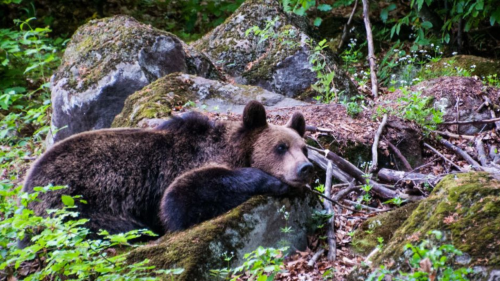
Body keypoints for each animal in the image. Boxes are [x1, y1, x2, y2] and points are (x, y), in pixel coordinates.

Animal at [24, 100, 312, 236]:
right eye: (281, 147)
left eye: (304, 148)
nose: (305, 168)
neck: (233, 150)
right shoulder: (185, 164)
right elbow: (179, 199)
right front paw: (272, 181)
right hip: (70, 196)